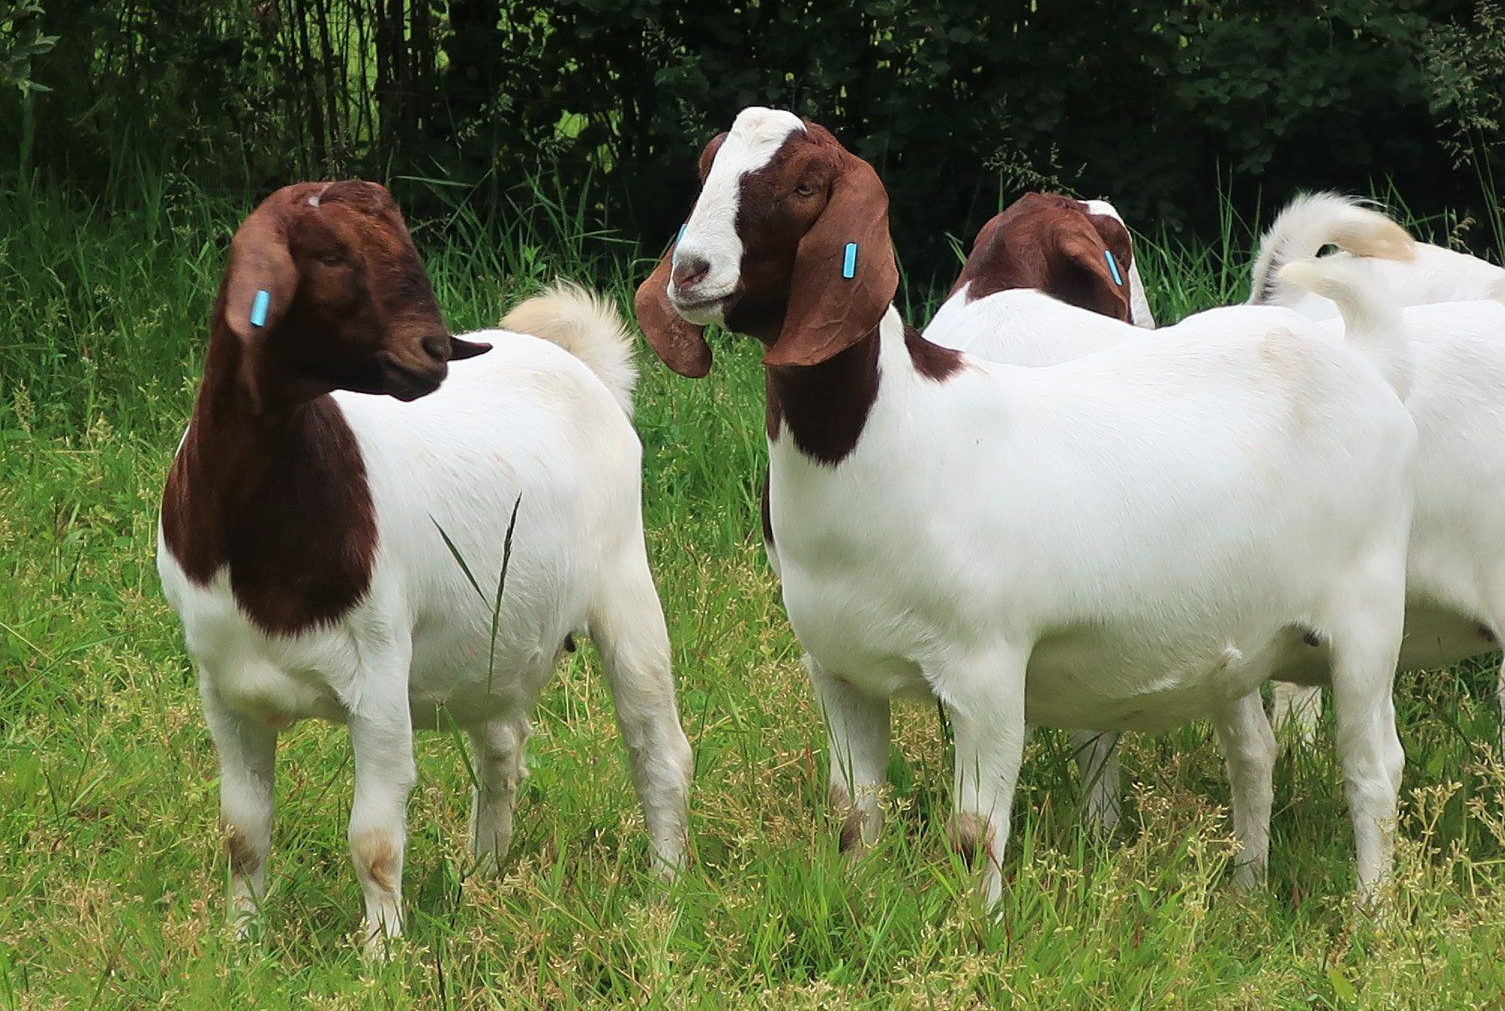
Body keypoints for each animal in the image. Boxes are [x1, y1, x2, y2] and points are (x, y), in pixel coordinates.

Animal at [157, 179, 689, 950]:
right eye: (328, 255)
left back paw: (665, 892)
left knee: (659, 749)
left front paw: (381, 952)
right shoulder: (223, 685)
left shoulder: (378, 672)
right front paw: (242, 945)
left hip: (625, 585)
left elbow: (374, 838)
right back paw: (485, 874)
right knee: (503, 744)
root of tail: (582, 366)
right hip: (489, 640)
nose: (434, 350)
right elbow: (242, 831)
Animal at [641, 106, 1414, 902]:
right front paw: (855, 901)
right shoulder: (838, 669)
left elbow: (973, 832)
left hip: (1367, 611)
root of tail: (1359, 358)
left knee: (1372, 765)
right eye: (705, 167)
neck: (892, 433)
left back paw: (1370, 912)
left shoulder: (985, 669)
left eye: (803, 185)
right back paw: (1247, 892)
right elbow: (853, 813)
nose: (689, 271)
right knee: (1255, 754)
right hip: (1243, 636)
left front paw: (976, 927)